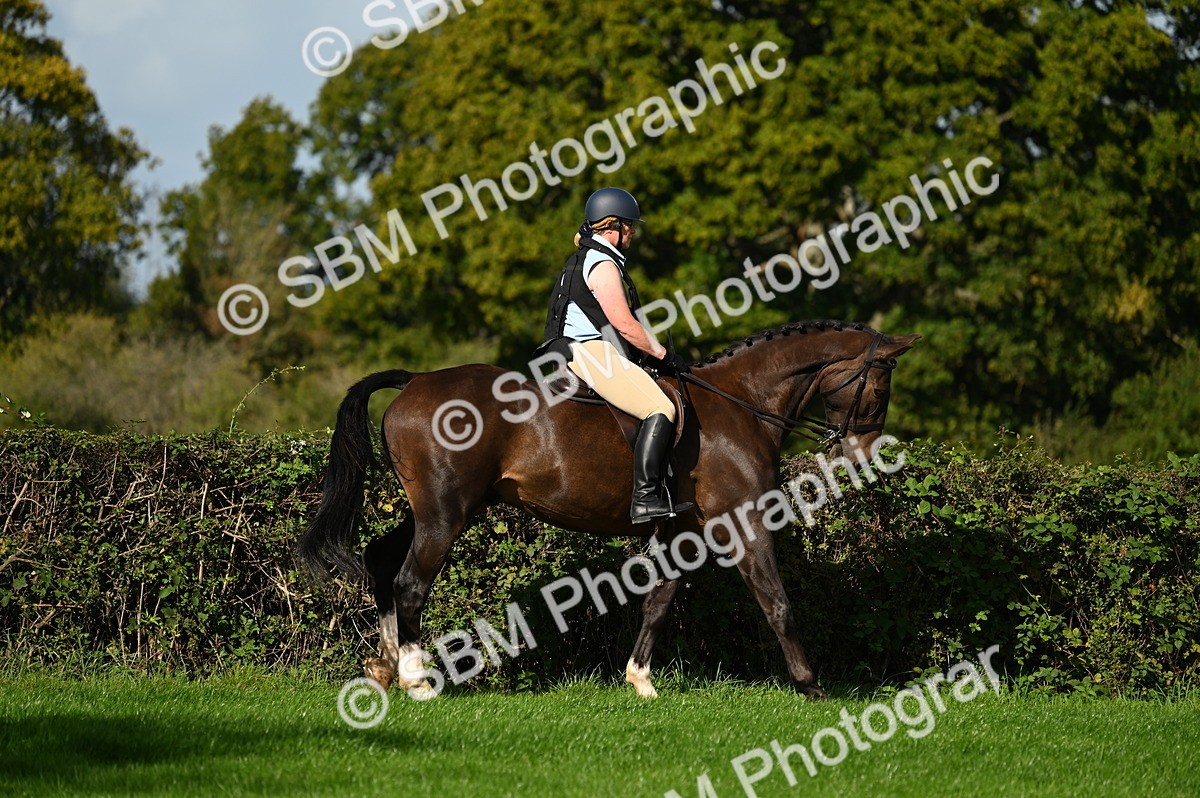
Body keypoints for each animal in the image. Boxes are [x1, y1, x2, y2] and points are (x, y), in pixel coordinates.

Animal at [299, 320, 920, 700]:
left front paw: (640, 681)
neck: (742, 403)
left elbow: (659, 602)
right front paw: (811, 685)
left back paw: (384, 668)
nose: (860, 458)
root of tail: (415, 380)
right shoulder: (742, 524)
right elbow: (777, 603)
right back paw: (418, 680)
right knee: (409, 583)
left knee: (381, 562)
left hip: (434, 511)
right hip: (446, 515)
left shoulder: (681, 530)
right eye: (880, 387)